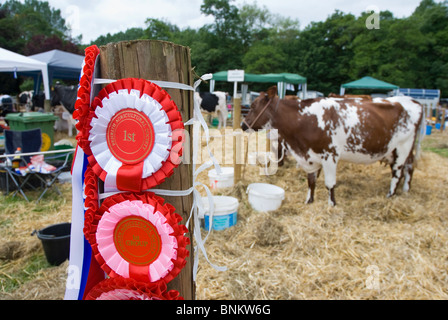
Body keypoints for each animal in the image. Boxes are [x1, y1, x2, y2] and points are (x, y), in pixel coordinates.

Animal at [242, 86, 424, 205]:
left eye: (253, 106)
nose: (243, 125)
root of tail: (414, 101)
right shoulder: (309, 155)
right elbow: (311, 181)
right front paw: (309, 201)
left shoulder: (330, 155)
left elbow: (330, 184)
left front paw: (332, 205)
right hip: (398, 150)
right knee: (409, 167)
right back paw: (405, 190)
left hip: (403, 146)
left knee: (397, 172)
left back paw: (390, 195)